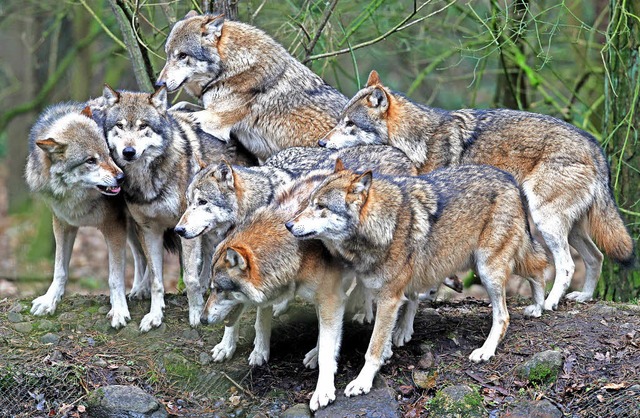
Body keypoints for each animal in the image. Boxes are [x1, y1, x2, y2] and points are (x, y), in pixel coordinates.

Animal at [25, 103, 130, 328]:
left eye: (108, 152)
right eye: (90, 160)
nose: (122, 178)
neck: (77, 199)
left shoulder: (114, 228)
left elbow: (115, 278)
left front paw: (118, 310)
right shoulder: (63, 225)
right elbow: (60, 269)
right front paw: (50, 301)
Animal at [99, 85, 250, 332]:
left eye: (143, 126)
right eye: (119, 126)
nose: (128, 152)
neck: (149, 180)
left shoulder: (185, 229)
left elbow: (189, 278)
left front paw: (196, 314)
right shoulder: (149, 229)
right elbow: (156, 280)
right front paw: (154, 316)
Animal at [156, 11, 348, 162]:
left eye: (182, 55)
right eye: (167, 55)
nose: (159, 83)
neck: (230, 68)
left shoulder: (215, 121)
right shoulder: (210, 109)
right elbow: (180, 105)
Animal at [286, 162, 552, 404]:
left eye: (320, 206)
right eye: (309, 202)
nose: (288, 224)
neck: (384, 225)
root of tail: (509, 178)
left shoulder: (389, 298)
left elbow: (372, 349)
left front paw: (362, 382)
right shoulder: (377, 291)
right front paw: (320, 353)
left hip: (487, 270)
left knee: (508, 309)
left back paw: (488, 349)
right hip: (469, 264)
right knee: (538, 267)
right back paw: (537, 307)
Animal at [322, 69, 632, 310]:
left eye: (350, 124)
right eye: (339, 121)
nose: (322, 143)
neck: (417, 142)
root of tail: (594, 145)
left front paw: (432, 291)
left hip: (546, 221)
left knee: (567, 265)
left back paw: (549, 302)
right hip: (572, 228)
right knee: (596, 257)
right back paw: (585, 296)